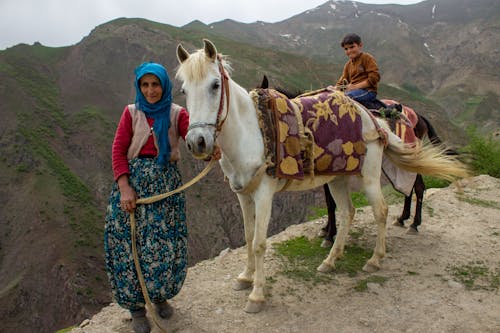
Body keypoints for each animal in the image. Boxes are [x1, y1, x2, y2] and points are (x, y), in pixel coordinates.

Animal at [258, 75, 454, 245]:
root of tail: (419, 117)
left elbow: (332, 203)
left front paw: (330, 235)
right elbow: (330, 202)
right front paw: (327, 229)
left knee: (418, 187)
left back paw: (413, 224)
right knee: (410, 187)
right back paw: (402, 218)